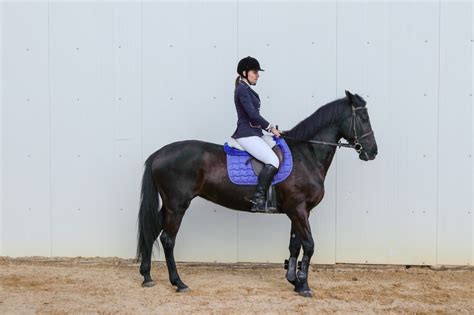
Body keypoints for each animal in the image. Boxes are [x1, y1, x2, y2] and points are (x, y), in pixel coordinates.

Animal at [134, 90, 378, 298]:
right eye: (363, 117)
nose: (372, 152)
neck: (306, 155)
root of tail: (159, 153)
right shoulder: (298, 209)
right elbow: (309, 245)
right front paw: (304, 285)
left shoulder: (298, 211)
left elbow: (295, 245)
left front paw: (294, 281)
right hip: (177, 205)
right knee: (168, 240)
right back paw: (178, 283)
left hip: (169, 205)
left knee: (152, 231)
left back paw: (147, 277)